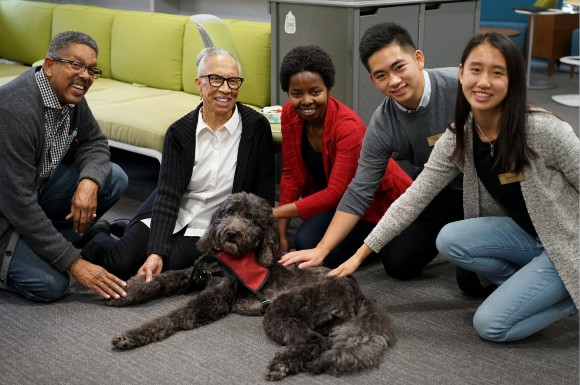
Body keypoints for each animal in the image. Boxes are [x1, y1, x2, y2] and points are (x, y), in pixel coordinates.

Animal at [105, 191, 394, 378]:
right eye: (229, 212)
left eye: (253, 220)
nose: (232, 233)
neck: (230, 259)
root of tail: (357, 290)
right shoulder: (195, 274)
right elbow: (161, 280)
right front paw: (128, 291)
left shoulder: (217, 297)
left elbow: (176, 315)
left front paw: (133, 334)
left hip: (285, 307)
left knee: (317, 342)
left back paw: (282, 364)